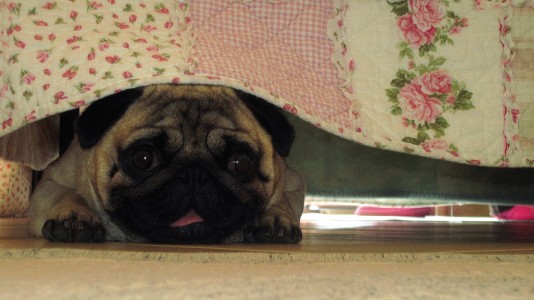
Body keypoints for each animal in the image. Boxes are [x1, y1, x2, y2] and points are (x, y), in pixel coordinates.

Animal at [29, 84, 306, 244]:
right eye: (143, 159)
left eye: (240, 162)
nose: (194, 174)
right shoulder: (52, 179)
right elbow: (64, 193)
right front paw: (76, 214)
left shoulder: (292, 183)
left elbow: (283, 200)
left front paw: (274, 217)